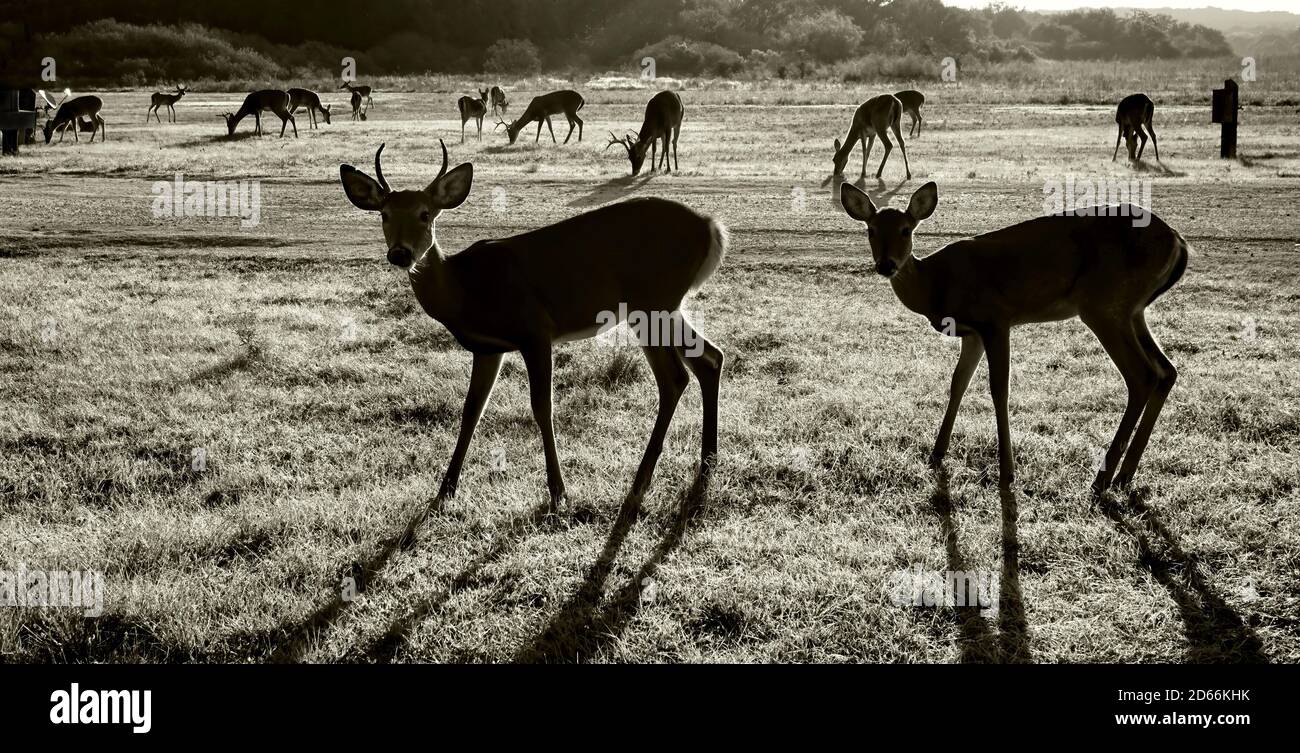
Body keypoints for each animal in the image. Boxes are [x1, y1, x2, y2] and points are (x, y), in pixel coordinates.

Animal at [340, 139, 728, 512]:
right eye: (384, 214)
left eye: (425, 214)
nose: (400, 254)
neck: (464, 288)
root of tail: (711, 227)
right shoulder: (488, 348)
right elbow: (471, 411)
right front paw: (445, 491)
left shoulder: (535, 330)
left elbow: (542, 408)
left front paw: (559, 493)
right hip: (665, 306)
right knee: (710, 358)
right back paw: (707, 463)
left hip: (650, 301)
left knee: (674, 377)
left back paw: (640, 482)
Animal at [842, 179, 1190, 491]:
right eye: (871, 230)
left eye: (906, 230)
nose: (886, 265)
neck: (936, 286)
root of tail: (1177, 240)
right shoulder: (972, 333)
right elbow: (958, 384)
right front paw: (937, 453)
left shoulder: (996, 319)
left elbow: (999, 390)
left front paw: (1007, 472)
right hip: (1132, 311)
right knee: (1166, 370)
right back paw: (1124, 476)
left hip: (1103, 304)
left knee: (1142, 375)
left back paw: (1102, 479)